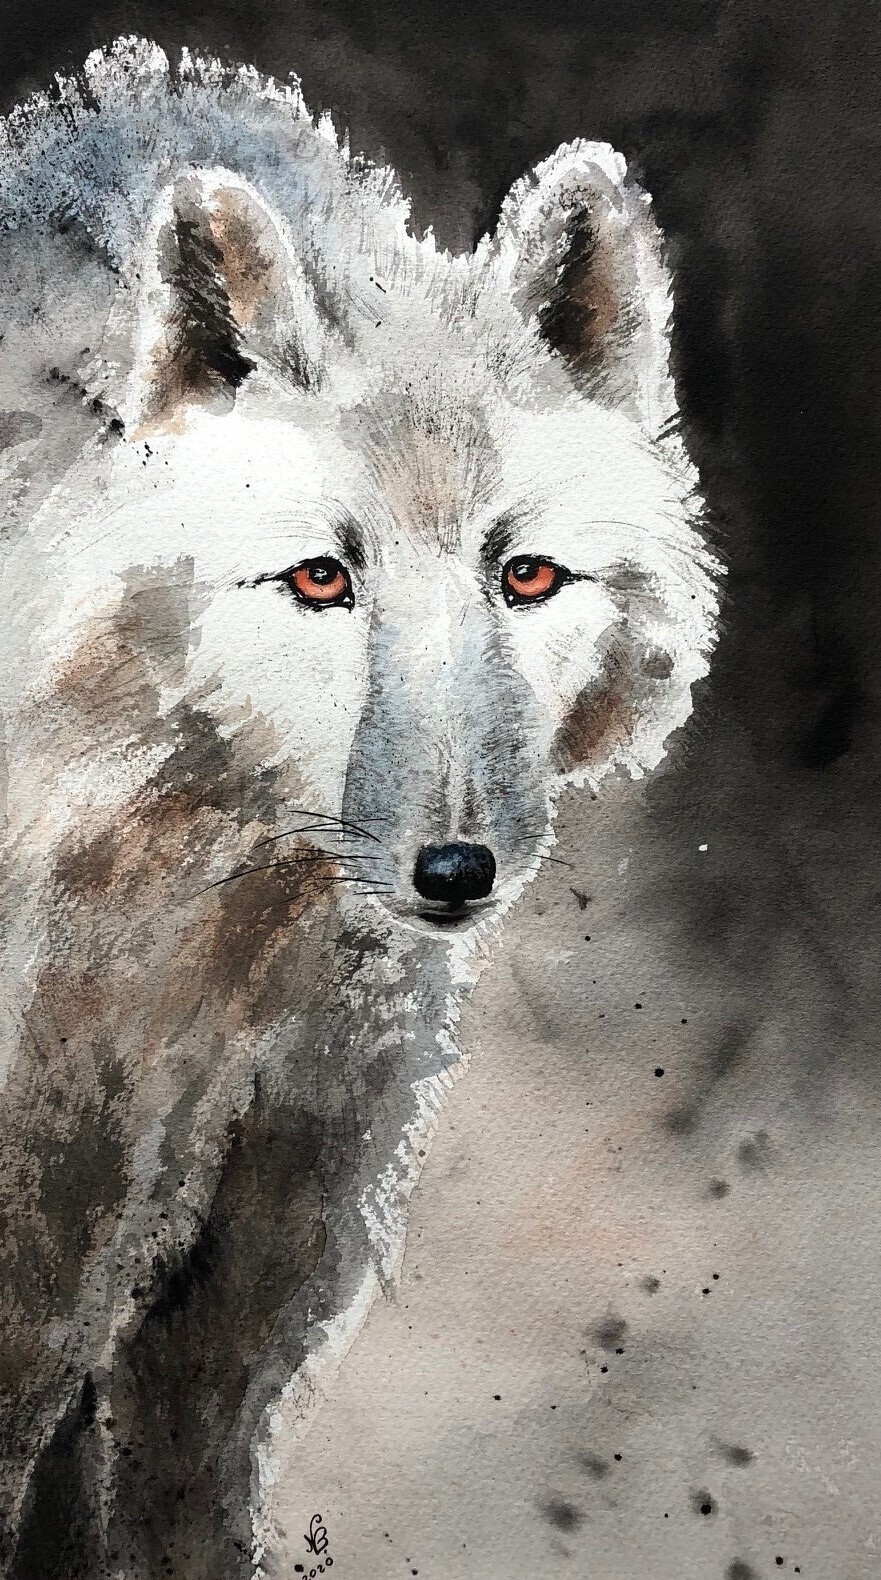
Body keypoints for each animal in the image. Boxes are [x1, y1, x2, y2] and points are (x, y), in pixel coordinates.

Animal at [0, 36, 719, 1580]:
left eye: (528, 576)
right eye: (321, 577)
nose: (454, 868)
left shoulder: (240, 1292)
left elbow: (183, 1513)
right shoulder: (39, 1260)